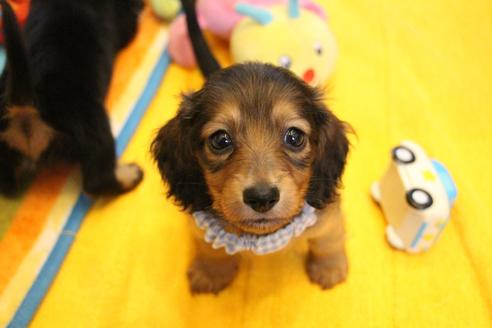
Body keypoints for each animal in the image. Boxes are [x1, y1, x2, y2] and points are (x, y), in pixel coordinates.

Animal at [0, 0, 145, 197]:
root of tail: (27, 106)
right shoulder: (126, 23)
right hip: (94, 126)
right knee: (97, 181)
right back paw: (131, 175)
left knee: (7, 185)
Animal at [153, 0, 350, 294]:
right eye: (220, 140)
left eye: (294, 137)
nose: (262, 197)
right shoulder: (200, 228)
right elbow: (209, 249)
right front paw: (211, 272)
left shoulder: (326, 217)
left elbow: (329, 239)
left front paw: (329, 268)